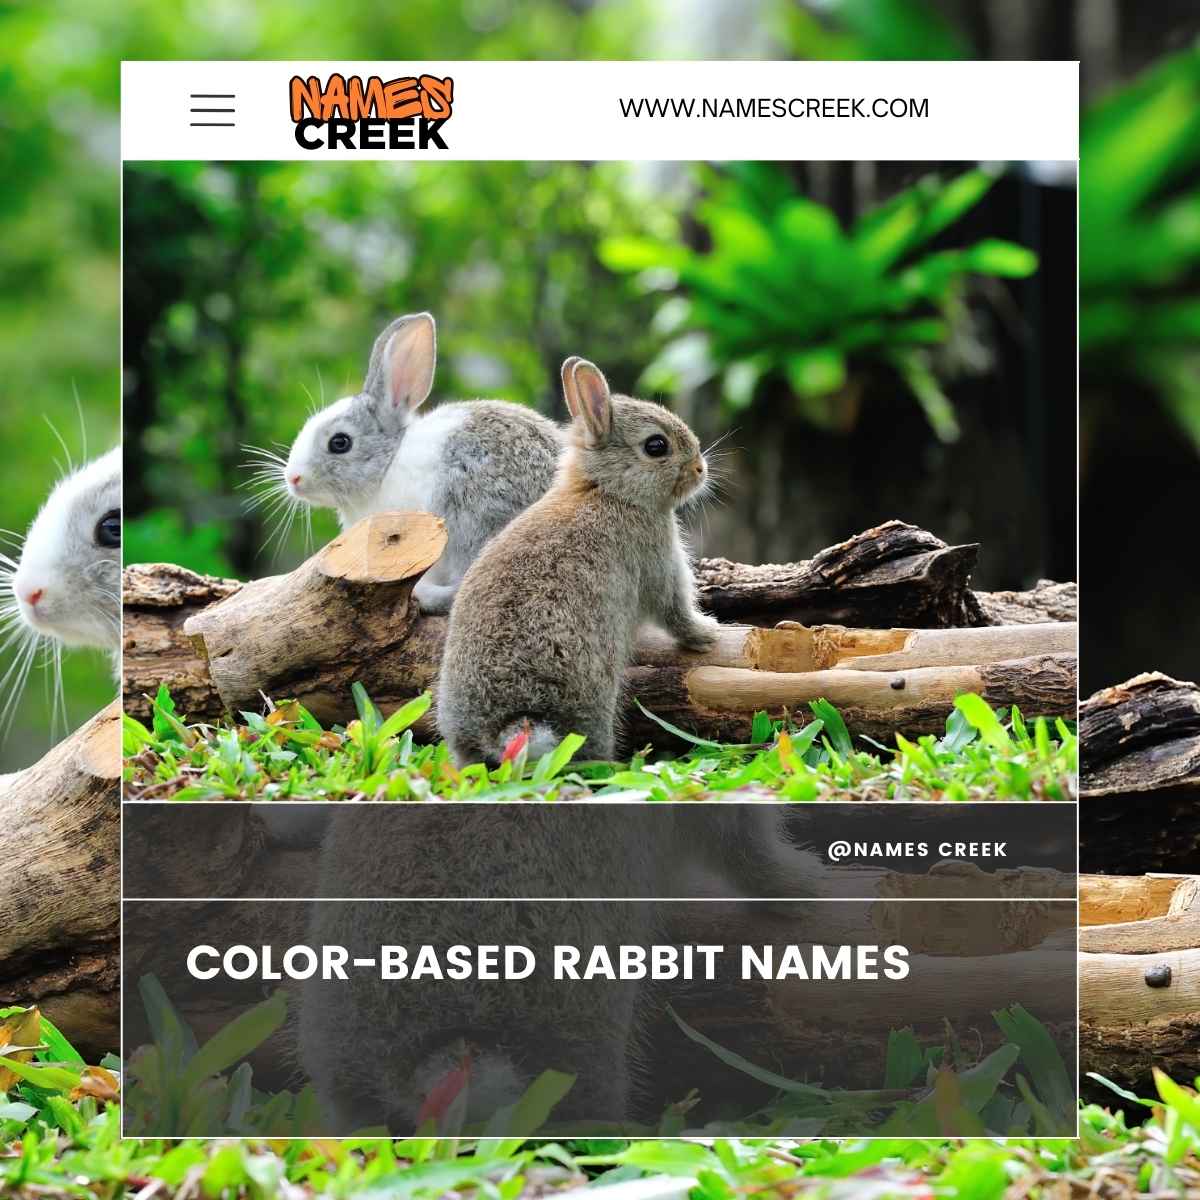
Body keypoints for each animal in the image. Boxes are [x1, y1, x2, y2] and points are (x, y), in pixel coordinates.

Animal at [437, 356, 721, 766]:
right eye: (656, 446)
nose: (700, 469)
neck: (608, 491)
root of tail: (507, 725)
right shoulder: (658, 559)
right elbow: (675, 612)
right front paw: (708, 634)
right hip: (592, 698)